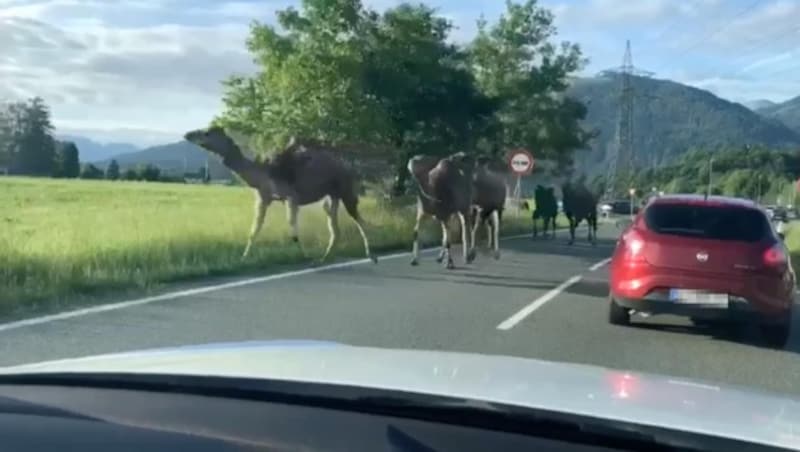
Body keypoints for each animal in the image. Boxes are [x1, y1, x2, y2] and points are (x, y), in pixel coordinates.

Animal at [184, 125, 378, 264]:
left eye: (207, 133)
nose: (188, 134)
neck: (263, 173)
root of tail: (349, 169)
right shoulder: (263, 198)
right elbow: (254, 229)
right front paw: (242, 258)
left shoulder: (291, 197)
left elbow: (292, 229)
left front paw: (305, 257)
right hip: (331, 196)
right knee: (335, 226)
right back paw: (324, 258)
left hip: (345, 189)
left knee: (358, 218)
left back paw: (372, 256)